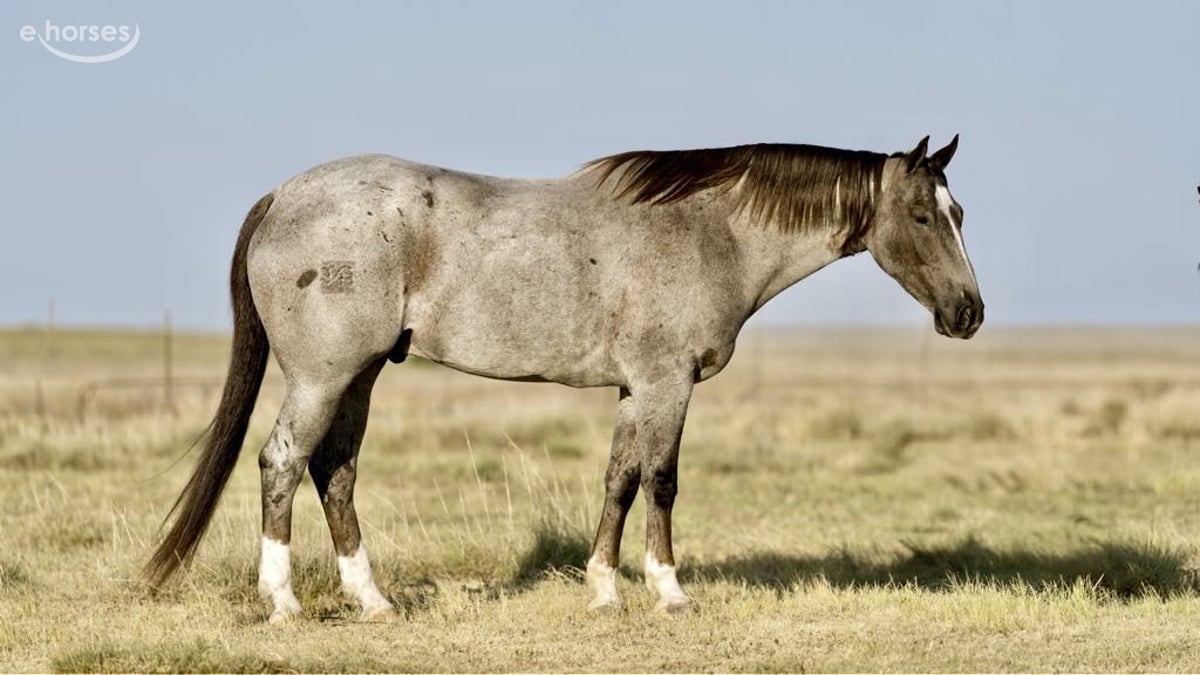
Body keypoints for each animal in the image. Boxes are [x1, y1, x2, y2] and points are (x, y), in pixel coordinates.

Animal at [145, 135, 982, 621]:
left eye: (959, 211)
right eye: (922, 215)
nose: (969, 312)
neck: (708, 230)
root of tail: (283, 195)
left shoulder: (635, 389)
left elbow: (618, 480)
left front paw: (604, 588)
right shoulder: (667, 383)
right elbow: (662, 481)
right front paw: (669, 590)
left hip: (359, 377)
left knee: (334, 472)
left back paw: (373, 599)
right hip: (324, 377)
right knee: (283, 463)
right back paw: (283, 600)